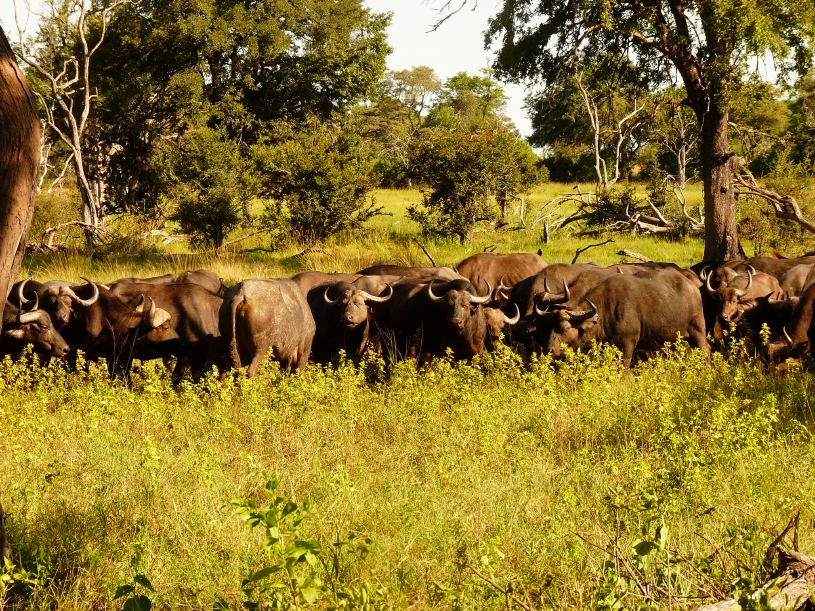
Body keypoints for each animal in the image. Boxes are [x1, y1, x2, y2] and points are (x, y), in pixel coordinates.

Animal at [525, 269, 709, 367]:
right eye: (547, 328)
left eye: (564, 328)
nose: (549, 350)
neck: (606, 311)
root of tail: (693, 287)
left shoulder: (628, 344)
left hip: (698, 330)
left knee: (706, 348)